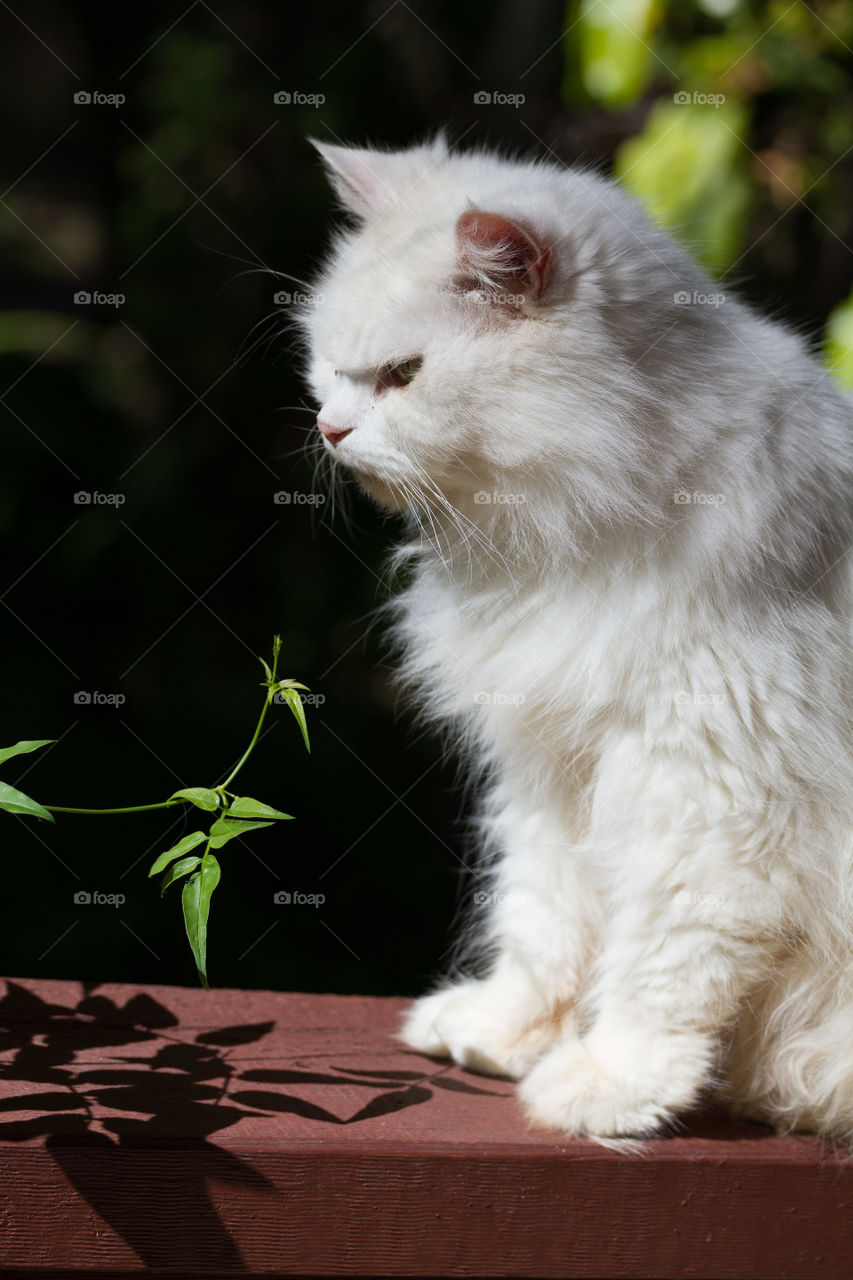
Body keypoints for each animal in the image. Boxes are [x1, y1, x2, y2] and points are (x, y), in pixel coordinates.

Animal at [297, 137, 850, 1141]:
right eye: (325, 366)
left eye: (403, 374)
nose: (330, 427)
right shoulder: (555, 773)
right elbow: (545, 922)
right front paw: (503, 1033)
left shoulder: (706, 785)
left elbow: (660, 962)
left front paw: (610, 1086)